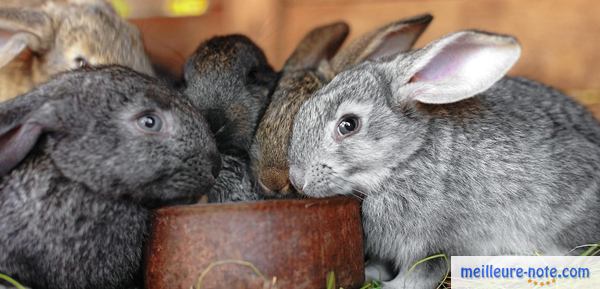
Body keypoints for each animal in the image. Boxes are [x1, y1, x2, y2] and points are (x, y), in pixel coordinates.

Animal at [286, 29, 600, 288]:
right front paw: (372, 274)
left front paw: (386, 286)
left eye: (349, 125)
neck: (405, 158)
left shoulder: (429, 244)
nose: (297, 180)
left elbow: (420, 275)